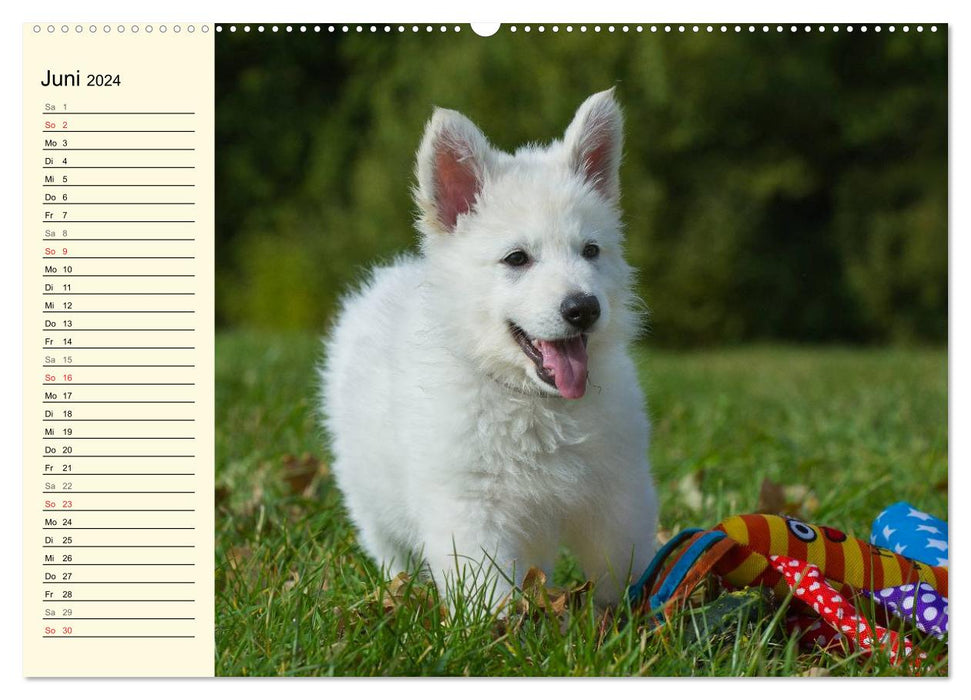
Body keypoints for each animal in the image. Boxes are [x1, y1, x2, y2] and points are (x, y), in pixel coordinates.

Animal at [322, 90, 656, 608]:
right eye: (517, 258)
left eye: (591, 251)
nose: (583, 308)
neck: (536, 404)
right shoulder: (470, 508)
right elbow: (488, 590)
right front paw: (504, 626)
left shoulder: (618, 494)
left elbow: (625, 567)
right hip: (367, 492)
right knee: (387, 546)